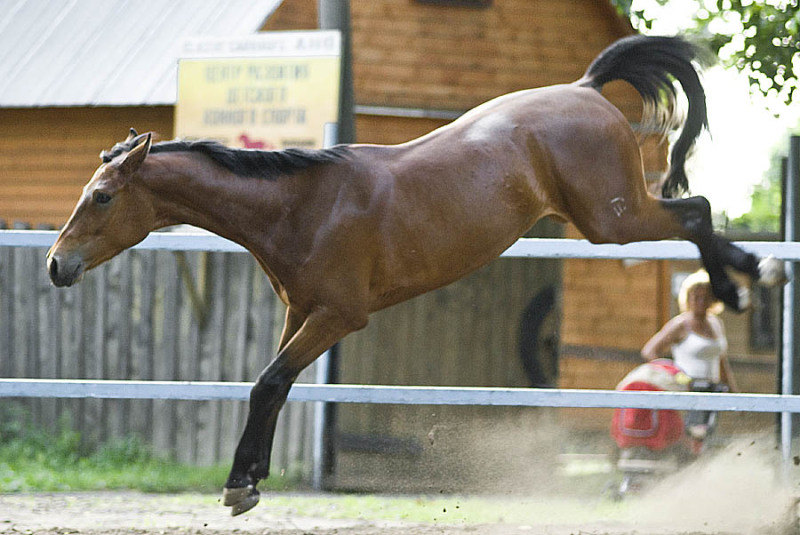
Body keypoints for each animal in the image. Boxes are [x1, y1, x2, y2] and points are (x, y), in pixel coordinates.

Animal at [47, 34, 784, 516]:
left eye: (102, 197)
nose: (57, 264)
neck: (301, 204)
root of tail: (583, 89)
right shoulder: (299, 314)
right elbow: (272, 387)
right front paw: (248, 478)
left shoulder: (337, 317)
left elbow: (267, 383)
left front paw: (240, 485)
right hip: (610, 217)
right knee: (695, 211)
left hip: (612, 218)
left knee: (695, 209)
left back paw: (745, 282)